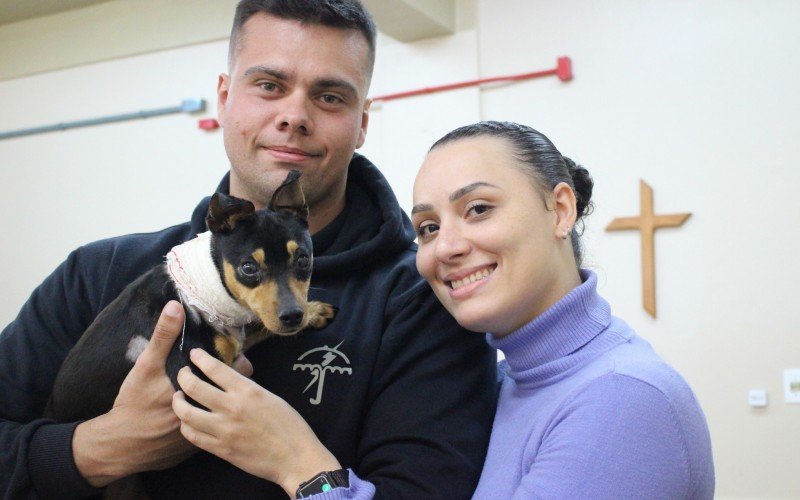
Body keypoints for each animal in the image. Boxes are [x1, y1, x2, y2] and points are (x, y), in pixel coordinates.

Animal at [47, 169, 334, 422]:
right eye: (248, 268)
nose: (293, 316)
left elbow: (258, 326)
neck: (197, 297)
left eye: (303, 260)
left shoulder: (237, 339)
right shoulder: (201, 384)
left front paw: (315, 310)